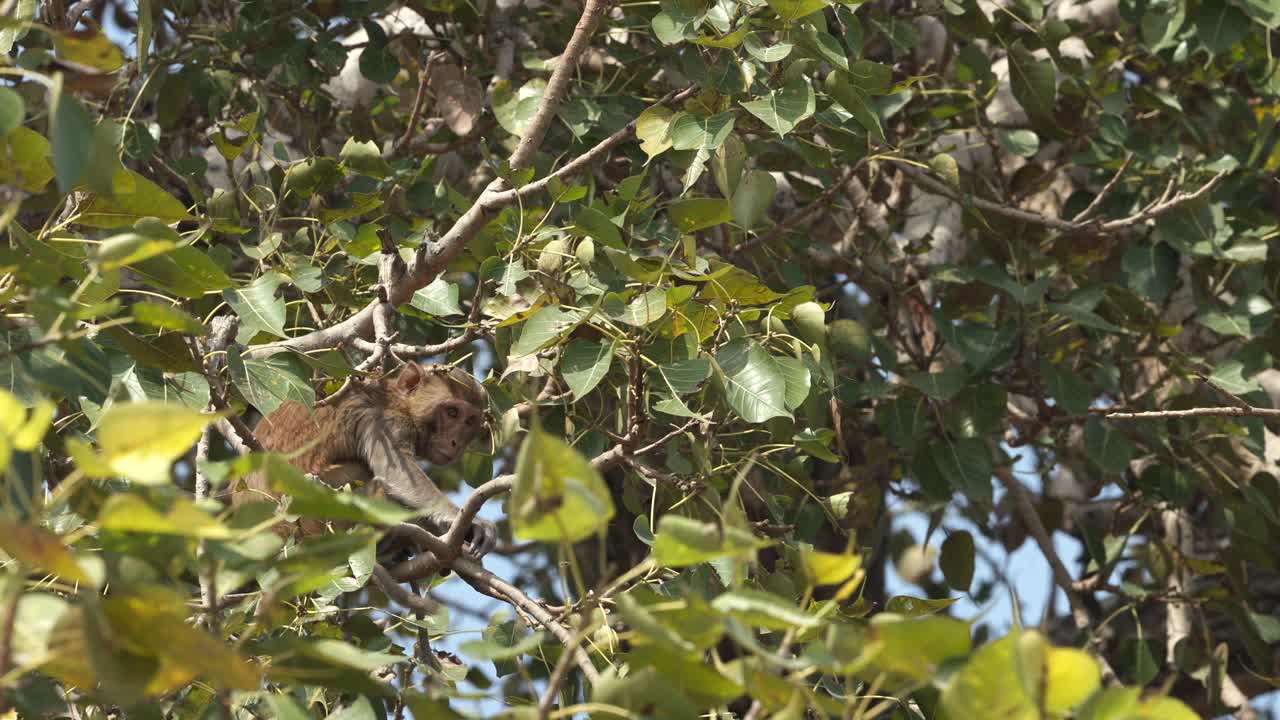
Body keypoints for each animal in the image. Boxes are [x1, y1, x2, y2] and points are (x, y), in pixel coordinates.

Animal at [232, 361, 496, 558]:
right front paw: (467, 523)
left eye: (469, 421)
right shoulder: (386, 422)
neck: (400, 401)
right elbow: (398, 474)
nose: (455, 442)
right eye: (451, 412)